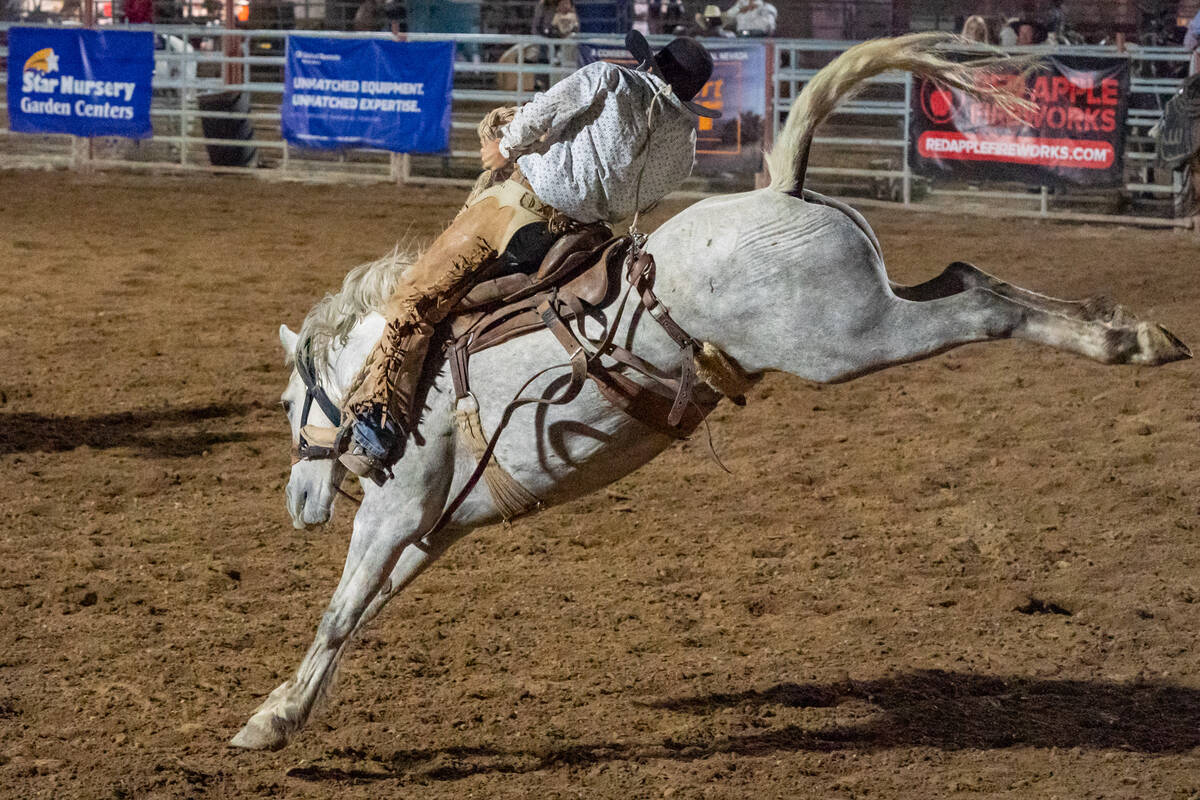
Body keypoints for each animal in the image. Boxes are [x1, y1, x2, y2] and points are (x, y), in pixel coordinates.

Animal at [231, 34, 1190, 753]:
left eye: (285, 407)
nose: (299, 503)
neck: (404, 367)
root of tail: (781, 188)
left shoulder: (395, 509)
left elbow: (340, 609)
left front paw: (265, 722)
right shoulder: (437, 526)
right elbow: (364, 610)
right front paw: (282, 710)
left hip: (851, 339)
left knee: (982, 308)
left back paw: (1123, 342)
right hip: (875, 309)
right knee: (967, 275)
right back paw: (1130, 331)